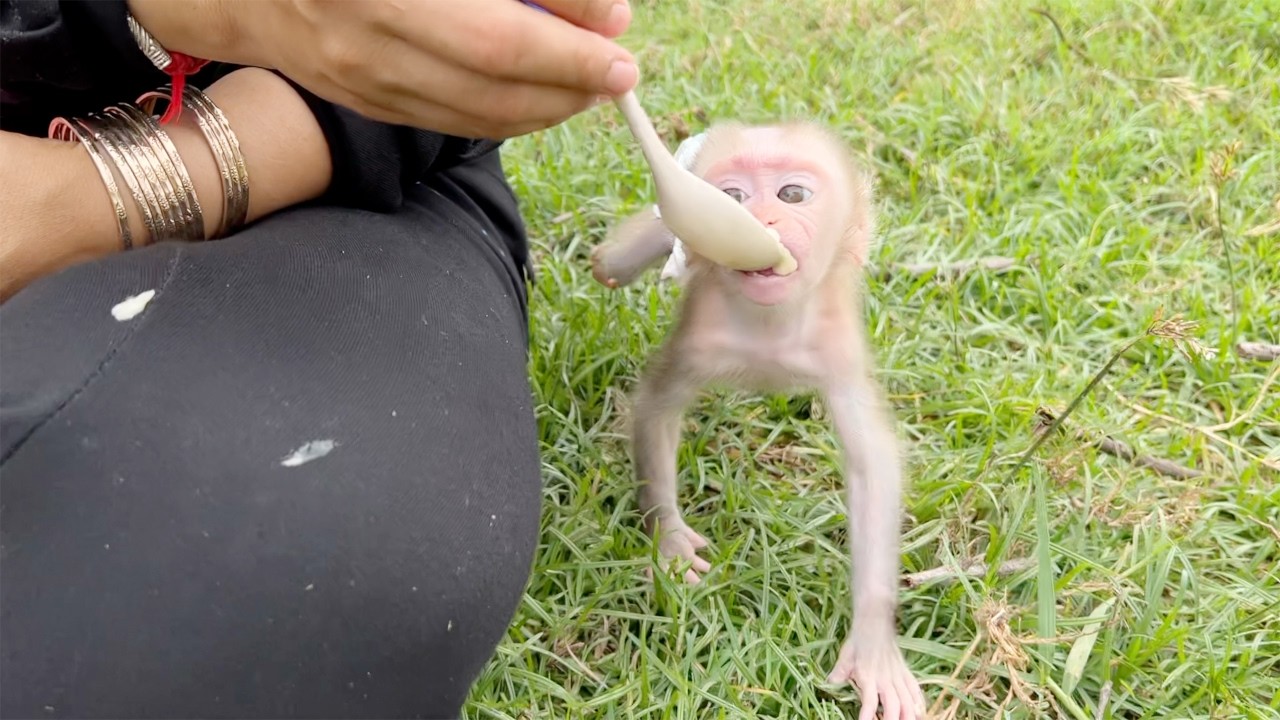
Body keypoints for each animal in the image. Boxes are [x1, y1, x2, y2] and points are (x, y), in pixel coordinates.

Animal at [592, 122, 926, 720]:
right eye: (733, 196)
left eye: (792, 194)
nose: (761, 221)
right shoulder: (702, 337)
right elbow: (655, 408)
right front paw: (670, 541)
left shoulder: (834, 346)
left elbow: (872, 468)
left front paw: (872, 640)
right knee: (620, 255)